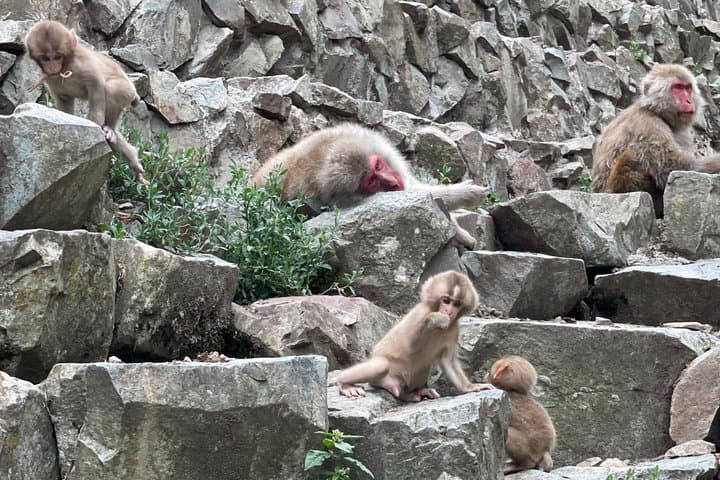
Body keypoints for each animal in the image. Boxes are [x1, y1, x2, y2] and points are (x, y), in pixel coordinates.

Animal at [24, 20, 147, 184]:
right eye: (45, 59)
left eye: (57, 56)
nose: (52, 67)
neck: (66, 67)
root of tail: (134, 91)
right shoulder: (50, 78)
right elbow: (64, 101)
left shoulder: (83, 63)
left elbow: (97, 86)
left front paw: (95, 124)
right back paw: (133, 159)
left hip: (127, 90)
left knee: (112, 88)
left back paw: (110, 128)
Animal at [338, 271, 494, 402]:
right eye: (446, 301)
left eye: (456, 304)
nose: (449, 311)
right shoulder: (420, 312)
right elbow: (410, 345)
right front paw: (435, 318)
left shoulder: (454, 330)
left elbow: (448, 361)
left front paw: (471, 387)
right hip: (381, 378)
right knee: (381, 365)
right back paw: (345, 384)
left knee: (423, 367)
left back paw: (414, 393)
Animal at [592, 63, 720, 217]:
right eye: (677, 88)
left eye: (687, 88)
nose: (689, 101)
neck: (655, 112)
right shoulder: (649, 127)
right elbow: (677, 168)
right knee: (630, 157)